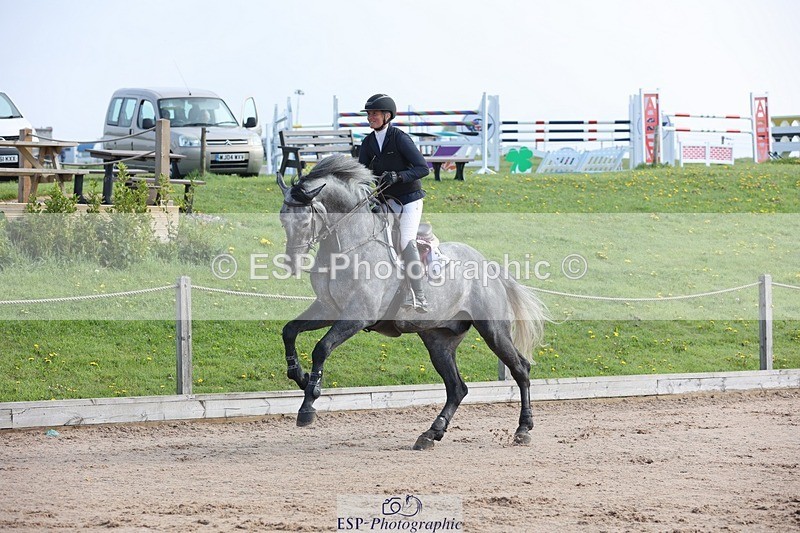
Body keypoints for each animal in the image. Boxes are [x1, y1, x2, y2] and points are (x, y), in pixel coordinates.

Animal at [277, 154, 548, 449]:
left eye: (305, 223)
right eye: (282, 220)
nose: (291, 264)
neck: (348, 245)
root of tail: (489, 265)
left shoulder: (357, 315)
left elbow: (321, 348)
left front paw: (309, 402)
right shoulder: (328, 308)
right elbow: (289, 331)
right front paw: (300, 377)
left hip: (493, 330)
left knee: (521, 369)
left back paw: (523, 428)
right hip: (438, 339)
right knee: (457, 388)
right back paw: (431, 433)